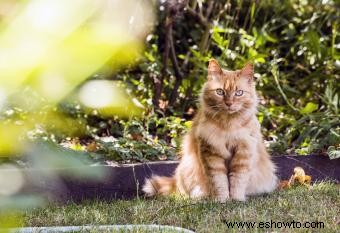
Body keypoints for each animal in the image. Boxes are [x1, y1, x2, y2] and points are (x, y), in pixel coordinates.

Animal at [142, 59, 278, 201]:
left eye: (239, 93)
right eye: (220, 92)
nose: (229, 103)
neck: (228, 126)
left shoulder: (243, 153)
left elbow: (237, 181)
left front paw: (236, 200)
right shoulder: (211, 153)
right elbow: (220, 182)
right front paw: (222, 200)